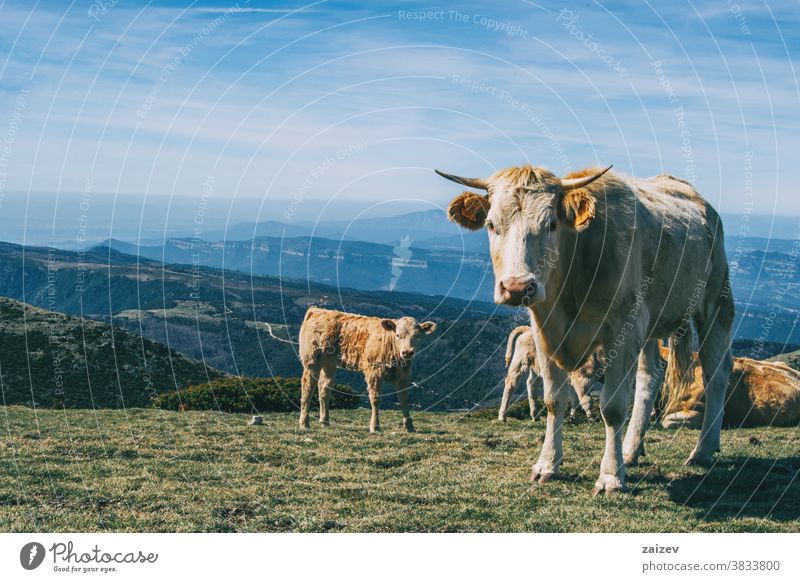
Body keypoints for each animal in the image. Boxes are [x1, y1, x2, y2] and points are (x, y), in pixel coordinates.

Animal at [296, 308, 434, 432]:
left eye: (417, 336)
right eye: (398, 335)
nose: (407, 352)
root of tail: (317, 310)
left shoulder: (404, 375)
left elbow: (404, 400)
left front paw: (410, 427)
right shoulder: (374, 371)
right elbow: (375, 399)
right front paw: (375, 427)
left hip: (329, 363)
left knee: (324, 389)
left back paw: (324, 422)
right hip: (312, 360)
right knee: (308, 388)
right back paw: (304, 424)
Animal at [440, 165, 736, 498]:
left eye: (552, 224)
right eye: (491, 224)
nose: (516, 287)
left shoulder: (622, 330)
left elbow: (614, 407)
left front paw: (611, 477)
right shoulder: (545, 333)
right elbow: (554, 400)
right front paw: (547, 465)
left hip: (716, 302)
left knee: (716, 372)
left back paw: (703, 450)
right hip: (649, 322)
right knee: (649, 379)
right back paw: (631, 450)